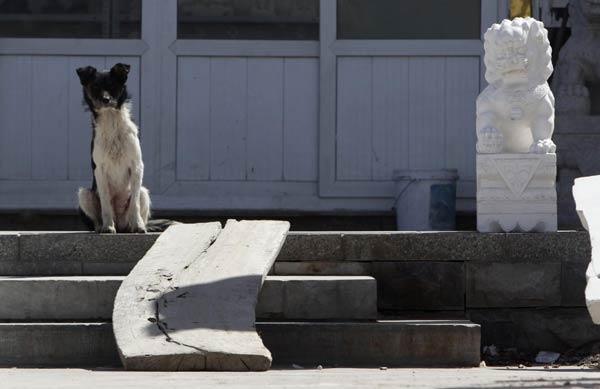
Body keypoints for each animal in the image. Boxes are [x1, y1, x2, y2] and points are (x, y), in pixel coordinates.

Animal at [77, 63, 171, 232]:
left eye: (113, 85)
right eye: (94, 87)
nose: (105, 99)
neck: (111, 120)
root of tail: (121, 225)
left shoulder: (137, 166)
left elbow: (134, 203)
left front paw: (138, 226)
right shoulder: (99, 170)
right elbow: (105, 203)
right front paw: (108, 227)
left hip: (144, 192)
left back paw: (136, 226)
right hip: (84, 194)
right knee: (96, 219)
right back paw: (102, 227)